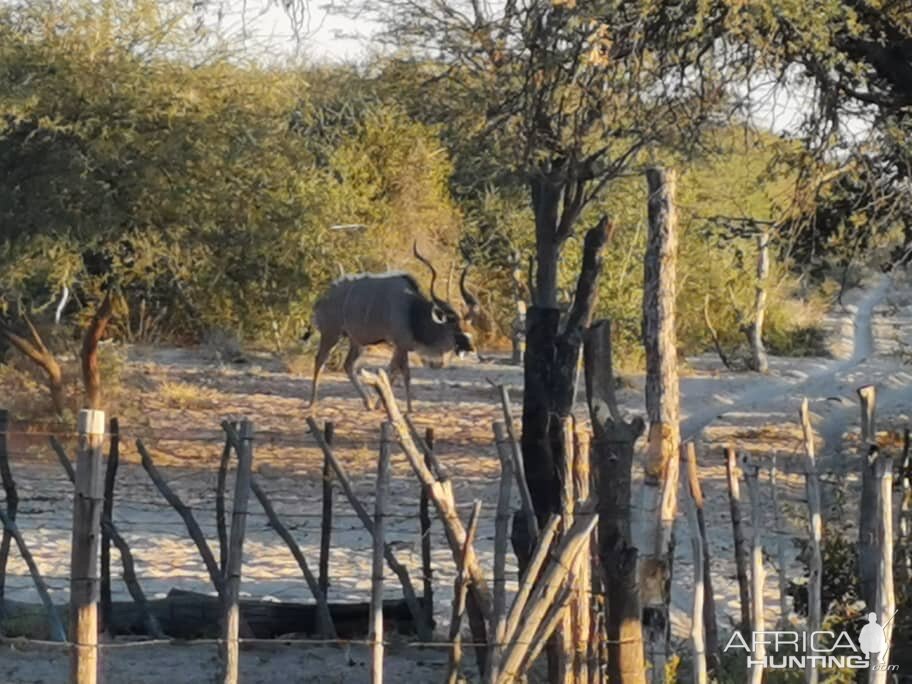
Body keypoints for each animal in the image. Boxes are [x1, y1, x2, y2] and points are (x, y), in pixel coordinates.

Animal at [306, 244, 478, 412]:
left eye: (469, 328)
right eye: (456, 329)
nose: (471, 348)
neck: (412, 310)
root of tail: (323, 298)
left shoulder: (400, 347)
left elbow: (392, 372)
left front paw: (380, 404)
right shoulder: (401, 345)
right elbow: (405, 374)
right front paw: (409, 409)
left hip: (357, 342)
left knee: (348, 365)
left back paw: (368, 403)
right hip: (331, 333)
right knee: (320, 359)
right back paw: (312, 402)